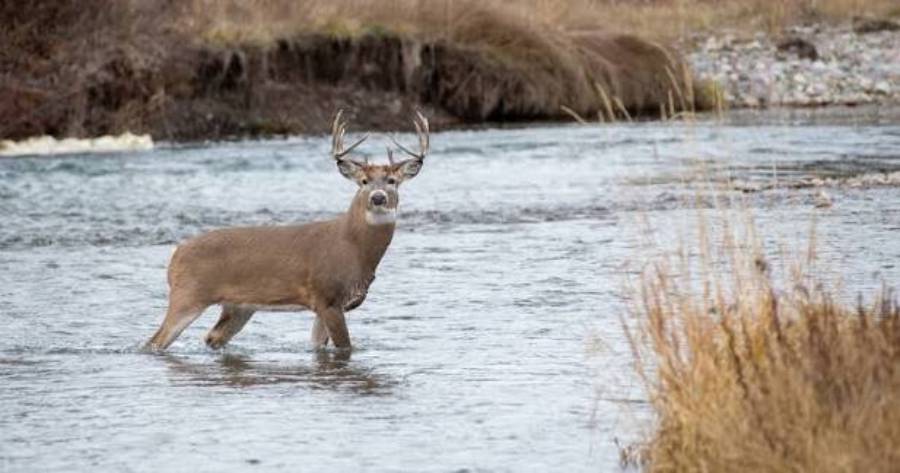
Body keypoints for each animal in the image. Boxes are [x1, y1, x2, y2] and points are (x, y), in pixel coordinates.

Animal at [143, 110, 429, 352]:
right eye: (364, 181)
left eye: (392, 181)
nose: (378, 198)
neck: (353, 247)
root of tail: (176, 254)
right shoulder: (326, 295)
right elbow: (345, 347)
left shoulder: (330, 305)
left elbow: (318, 347)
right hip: (188, 294)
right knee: (154, 341)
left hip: (238, 306)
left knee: (211, 337)